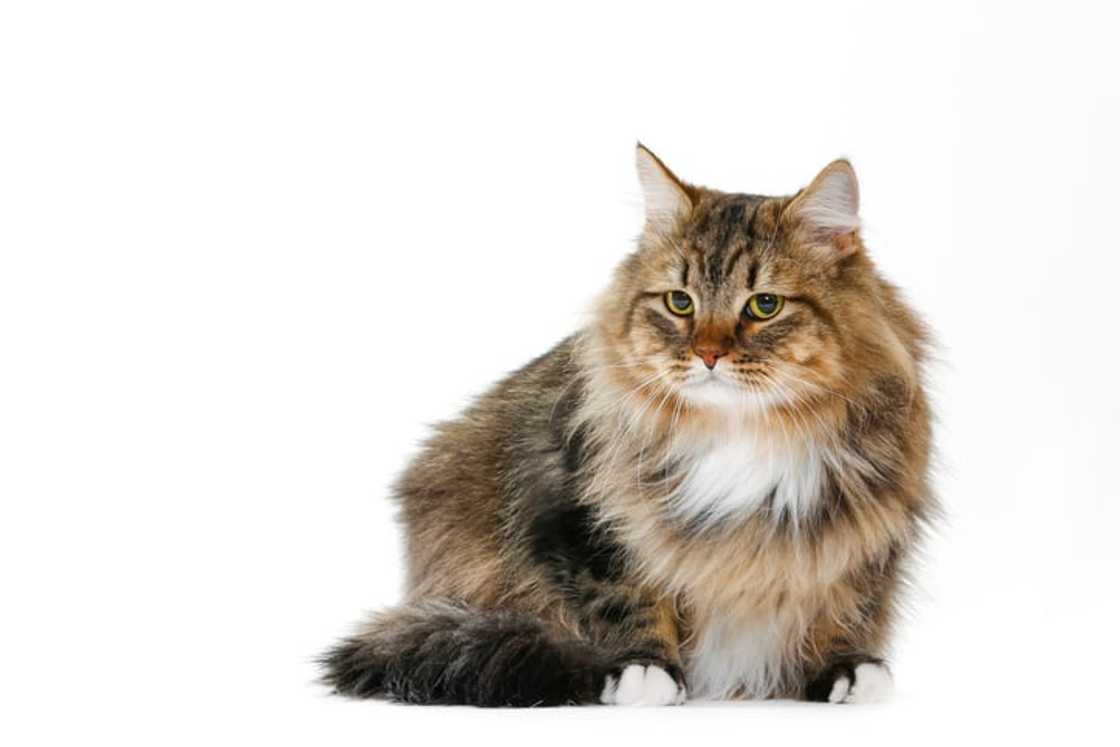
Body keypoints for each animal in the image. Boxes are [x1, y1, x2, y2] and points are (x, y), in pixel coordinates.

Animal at [322, 144, 936, 707]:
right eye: (680, 302)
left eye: (764, 306)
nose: (708, 354)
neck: (741, 433)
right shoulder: (581, 511)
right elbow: (625, 596)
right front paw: (646, 670)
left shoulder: (865, 532)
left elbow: (844, 606)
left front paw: (844, 668)